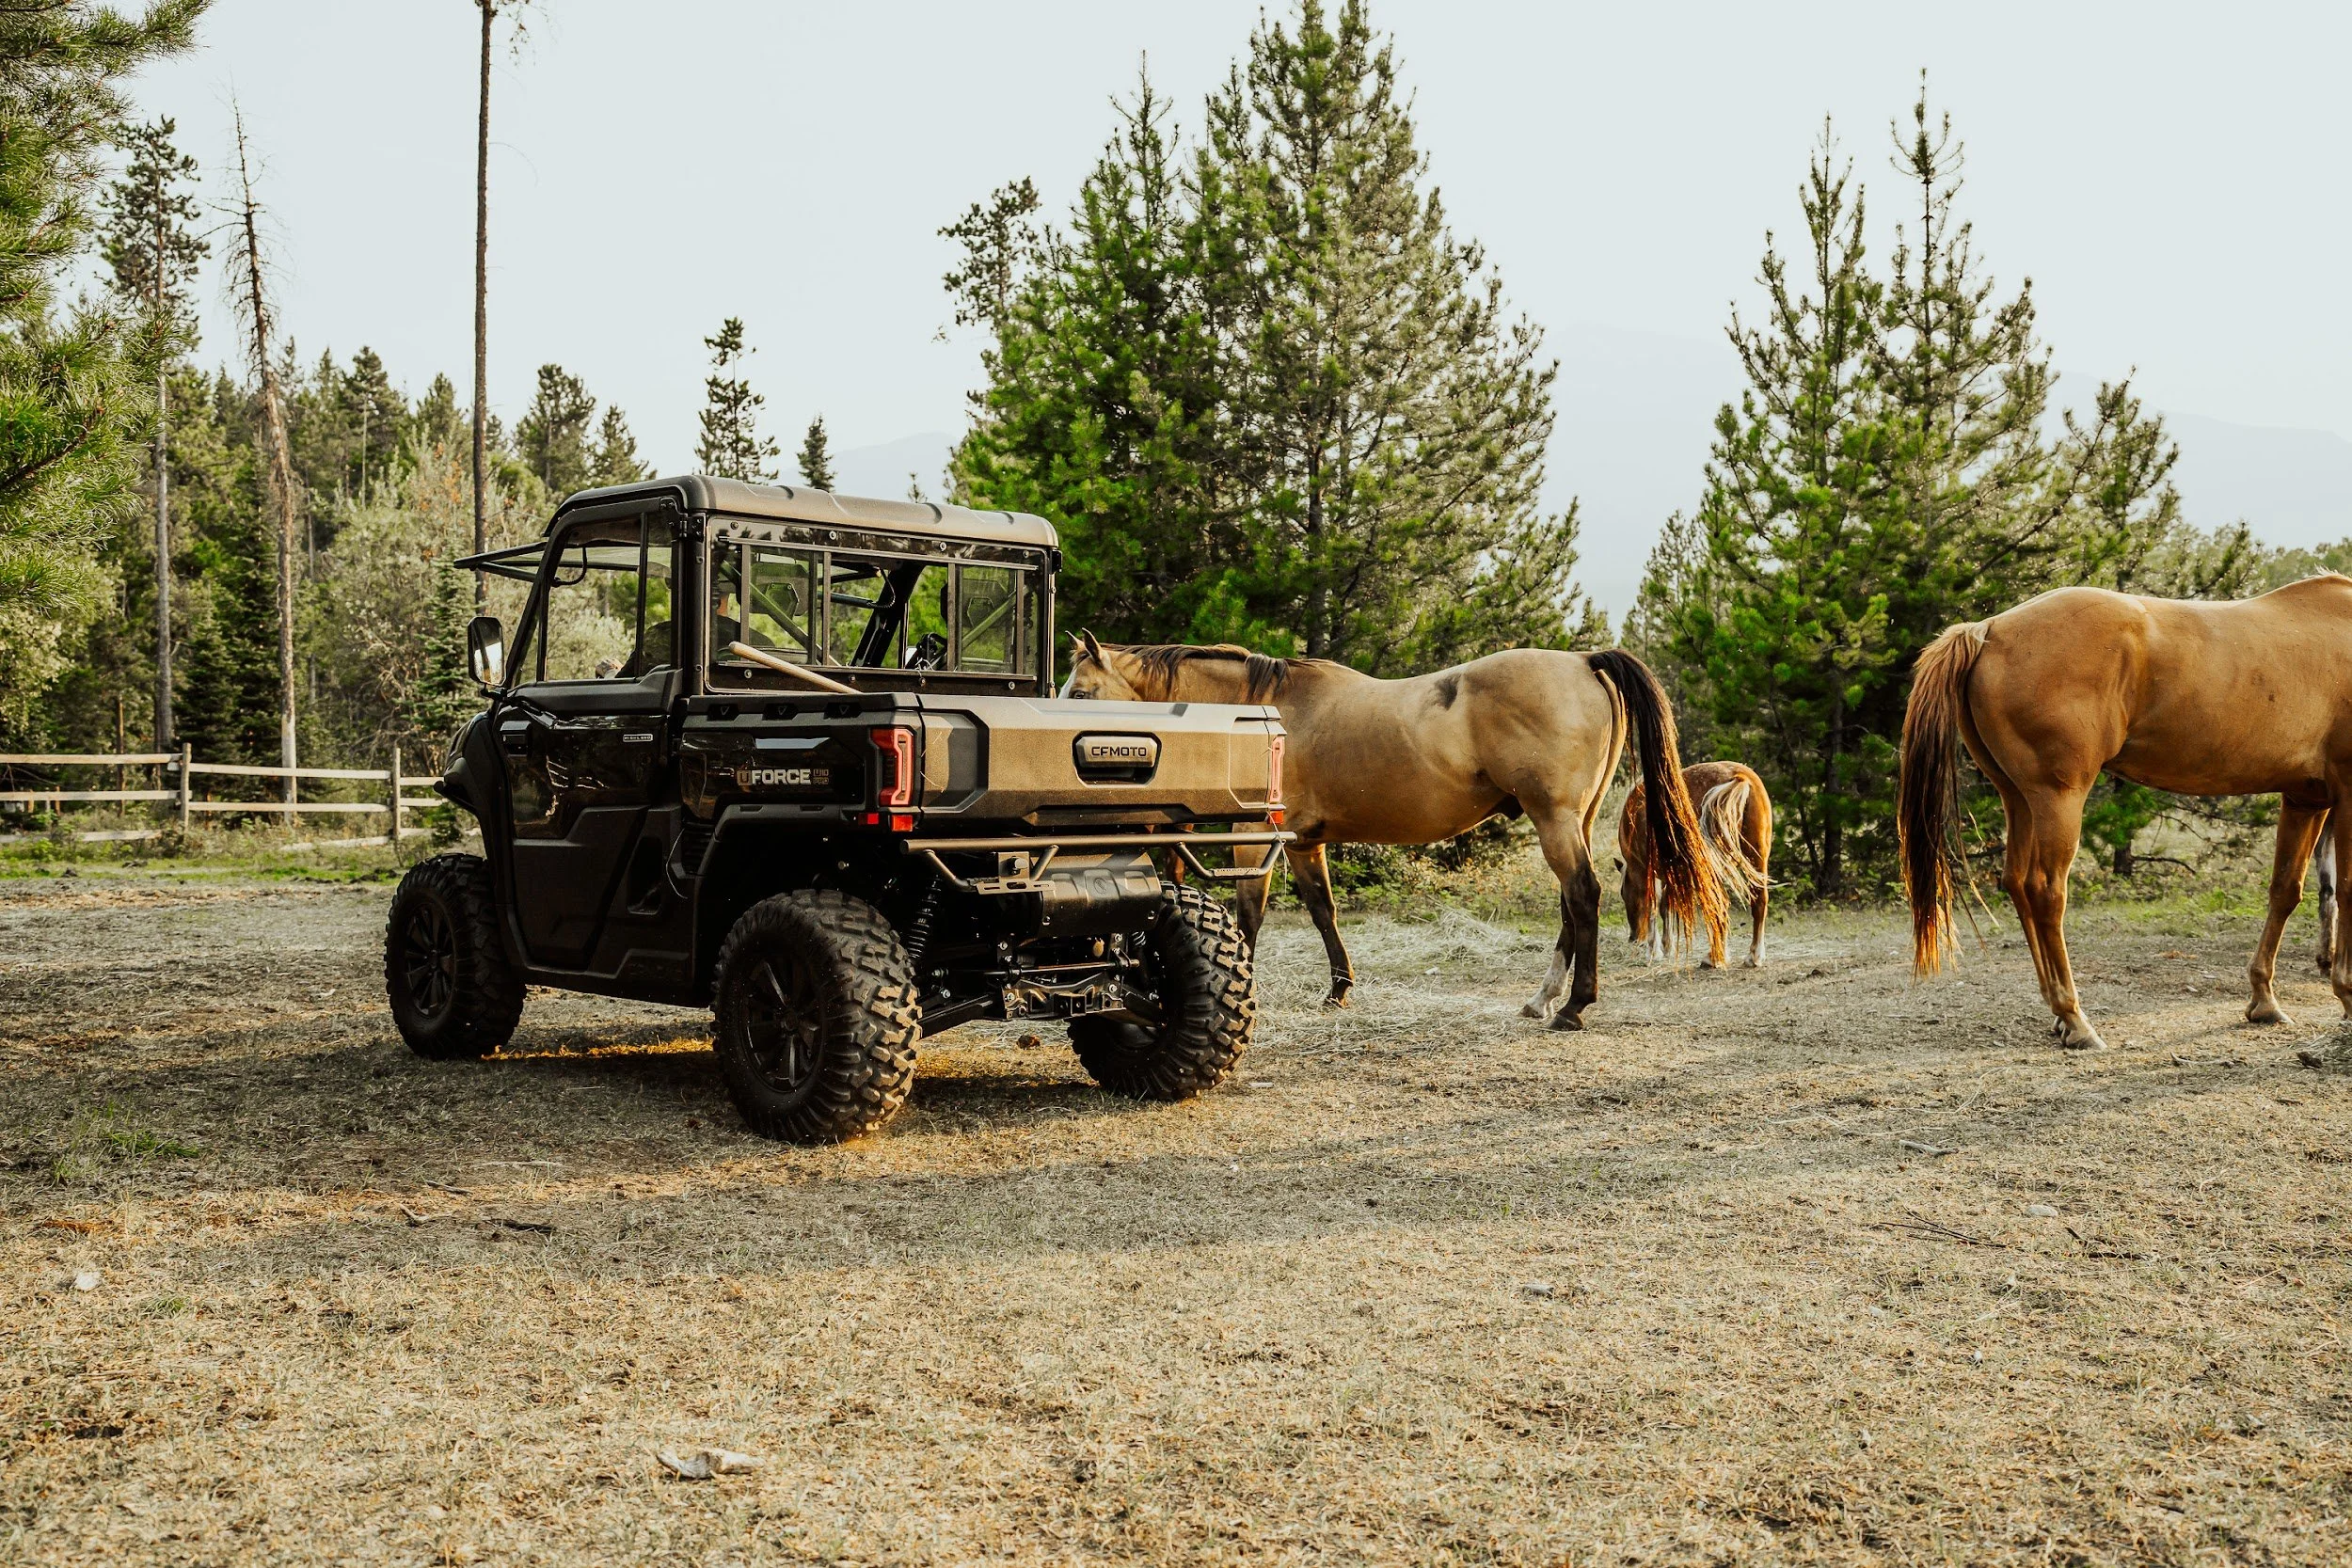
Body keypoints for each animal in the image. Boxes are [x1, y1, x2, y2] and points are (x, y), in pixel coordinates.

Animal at [1062, 633, 1728, 1030]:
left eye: (1085, 691)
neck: (1262, 716)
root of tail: (1581, 661)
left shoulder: (1256, 837)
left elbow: (1249, 916)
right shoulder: (1306, 842)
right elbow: (1323, 910)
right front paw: (1338, 990)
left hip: (1556, 822)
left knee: (1583, 897)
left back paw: (1574, 1006)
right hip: (1574, 823)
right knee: (1572, 905)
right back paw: (1544, 998)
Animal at [1620, 761, 1773, 968]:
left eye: (1623, 894)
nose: (1634, 938)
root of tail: (1739, 778)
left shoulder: (1643, 870)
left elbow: (1652, 907)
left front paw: (1654, 951)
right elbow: (1667, 906)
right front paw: (1667, 946)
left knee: (1720, 903)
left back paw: (1714, 958)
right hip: (1756, 857)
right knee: (1759, 901)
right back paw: (1753, 956)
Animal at [1901, 574, 2352, 1048]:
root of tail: (1988, 629)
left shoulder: (2306, 798)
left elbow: (2286, 891)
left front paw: (2264, 1000)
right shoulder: (2345, 791)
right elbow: (2347, 890)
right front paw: (2346, 996)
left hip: (2018, 798)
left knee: (2017, 884)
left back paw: (2057, 1012)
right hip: (2058, 799)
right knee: (2046, 891)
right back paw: (2076, 1019)